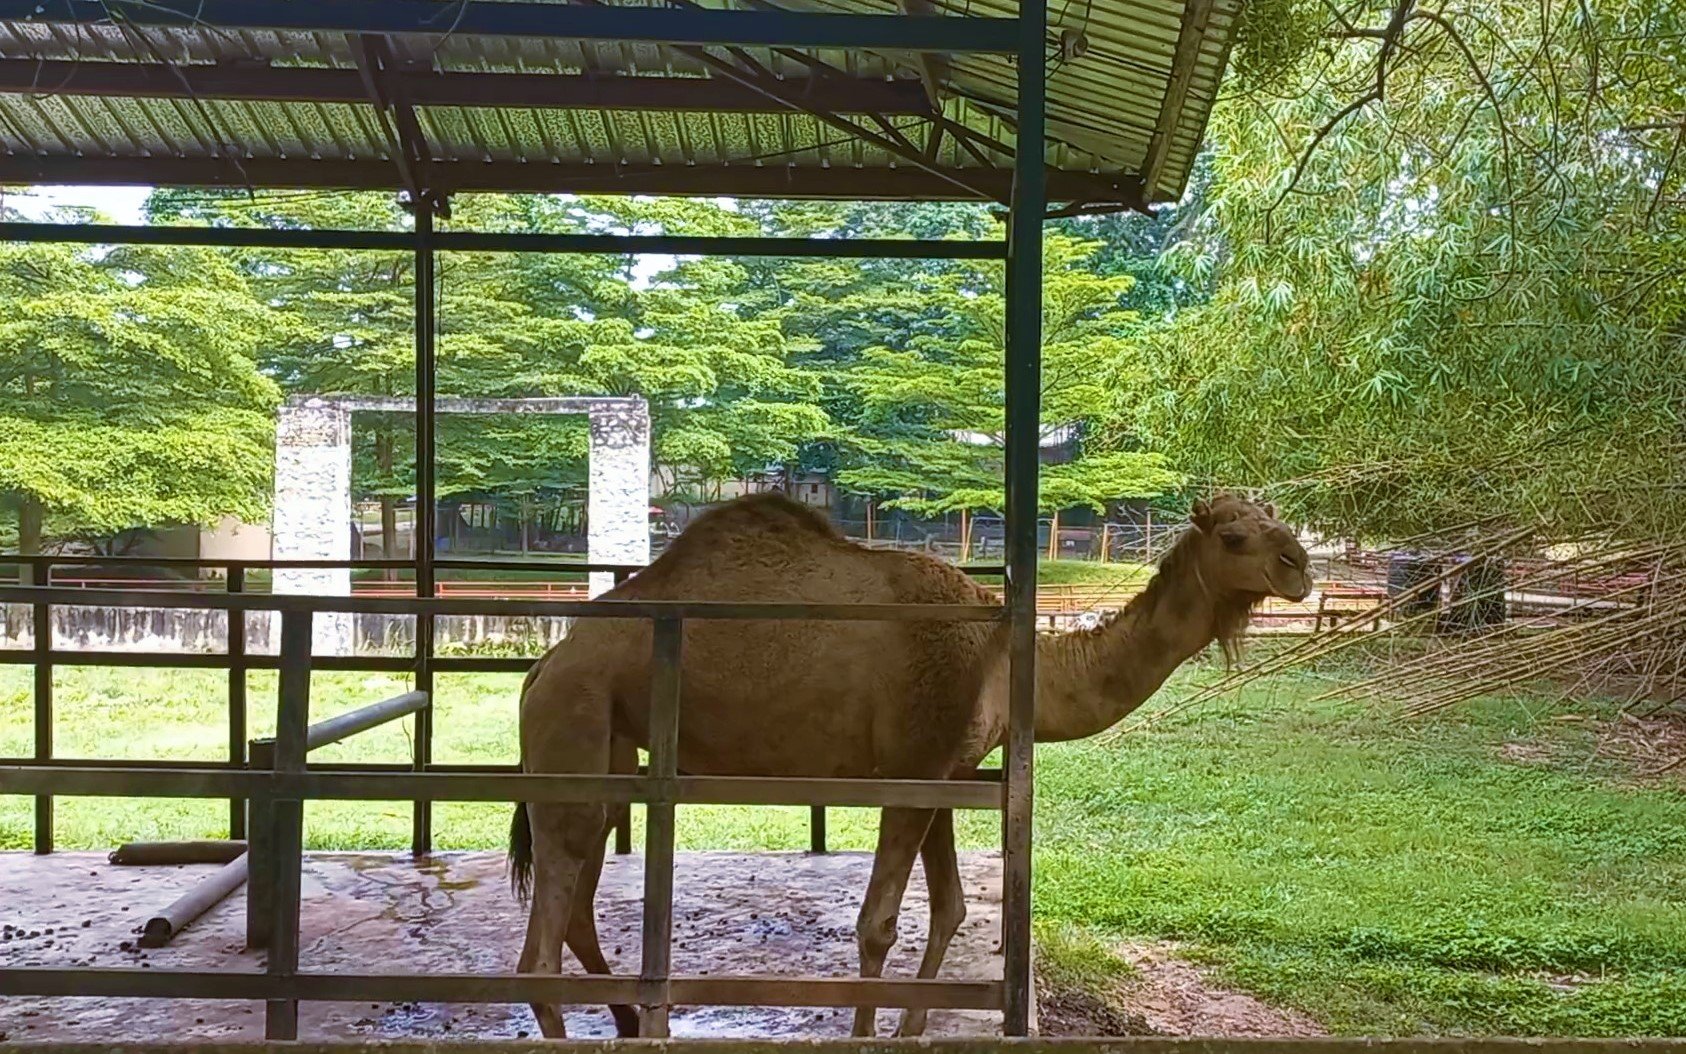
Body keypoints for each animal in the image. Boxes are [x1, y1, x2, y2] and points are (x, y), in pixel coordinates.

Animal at [505, 492, 1308, 1038]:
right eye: (1236, 535)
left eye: (1276, 520)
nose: (1299, 567)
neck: (1004, 660)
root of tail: (545, 663)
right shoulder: (913, 761)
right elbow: (878, 925)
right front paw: (870, 1033)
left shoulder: (945, 772)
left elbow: (950, 906)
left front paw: (913, 1026)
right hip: (573, 722)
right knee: (537, 951)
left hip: (609, 750)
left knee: (580, 898)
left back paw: (631, 1020)